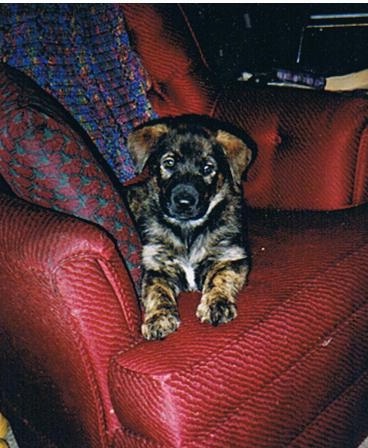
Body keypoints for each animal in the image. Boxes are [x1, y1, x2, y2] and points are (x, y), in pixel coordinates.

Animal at [126, 117, 253, 342]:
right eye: (169, 163)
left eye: (207, 168)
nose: (184, 203)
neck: (188, 231)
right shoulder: (156, 266)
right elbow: (157, 291)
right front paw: (158, 318)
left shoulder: (231, 256)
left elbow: (220, 277)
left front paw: (216, 305)